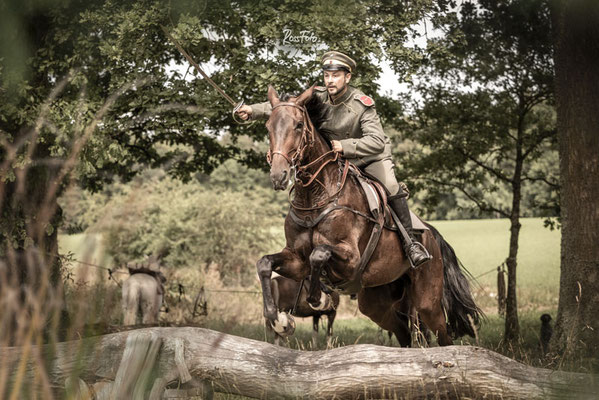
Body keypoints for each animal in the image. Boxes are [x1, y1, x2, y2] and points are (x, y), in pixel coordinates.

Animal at [258, 85, 482, 346]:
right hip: (377, 302)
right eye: (268, 126)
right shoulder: (295, 259)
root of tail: (431, 234)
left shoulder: (350, 259)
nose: (279, 176)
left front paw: (320, 298)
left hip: (427, 301)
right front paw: (278, 318)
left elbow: (319, 253)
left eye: (298, 125)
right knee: (403, 333)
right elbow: (264, 263)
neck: (315, 196)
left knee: (441, 335)